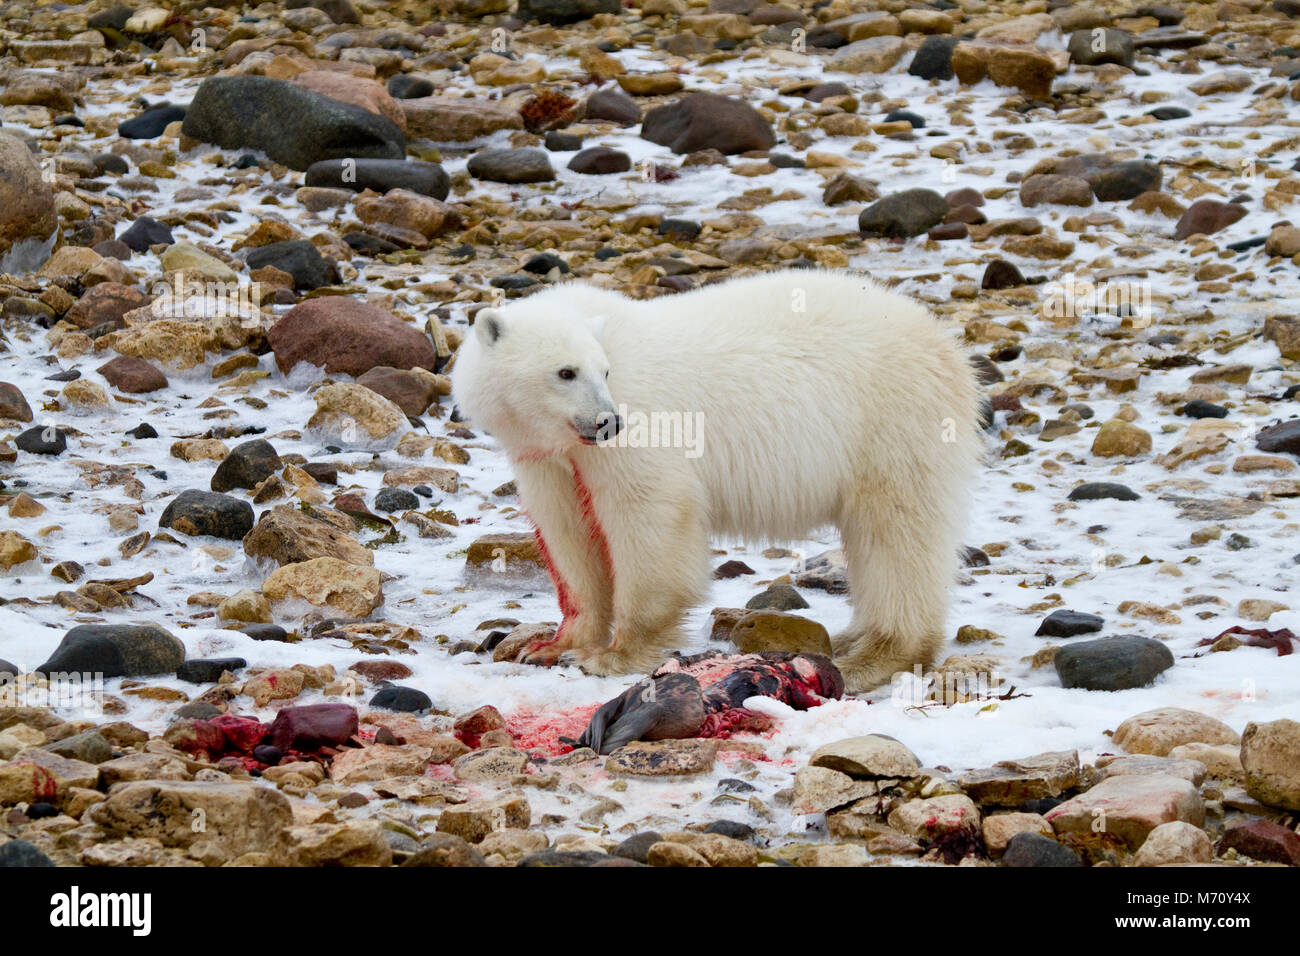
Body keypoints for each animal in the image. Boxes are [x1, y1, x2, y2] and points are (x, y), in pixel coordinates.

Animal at [452, 270, 977, 697]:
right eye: (565, 372)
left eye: (604, 371)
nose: (609, 422)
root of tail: (944, 343)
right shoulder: (549, 459)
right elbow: (568, 532)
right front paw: (550, 645)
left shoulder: (641, 426)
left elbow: (649, 513)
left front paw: (612, 656)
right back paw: (851, 639)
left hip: (890, 420)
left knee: (895, 534)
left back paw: (874, 656)